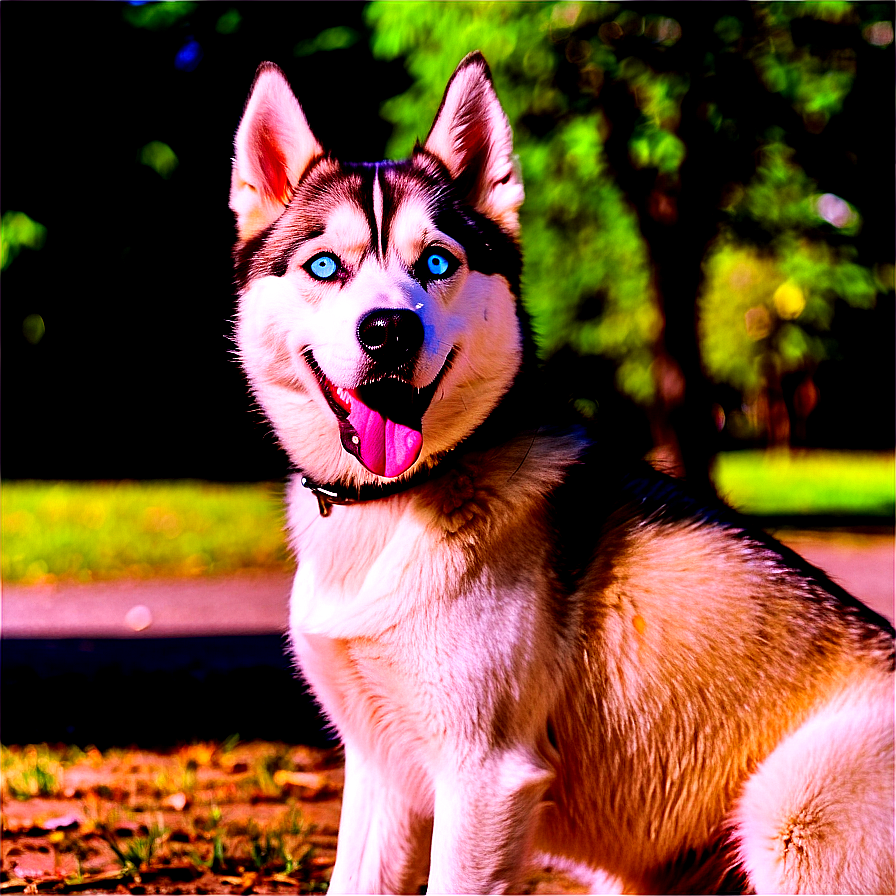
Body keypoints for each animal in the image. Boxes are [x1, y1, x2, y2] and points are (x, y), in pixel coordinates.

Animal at [233, 52, 896, 892]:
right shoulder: (381, 772)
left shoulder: (485, 777)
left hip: (790, 810)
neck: (389, 509)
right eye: (325, 266)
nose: (389, 330)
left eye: (437, 262)